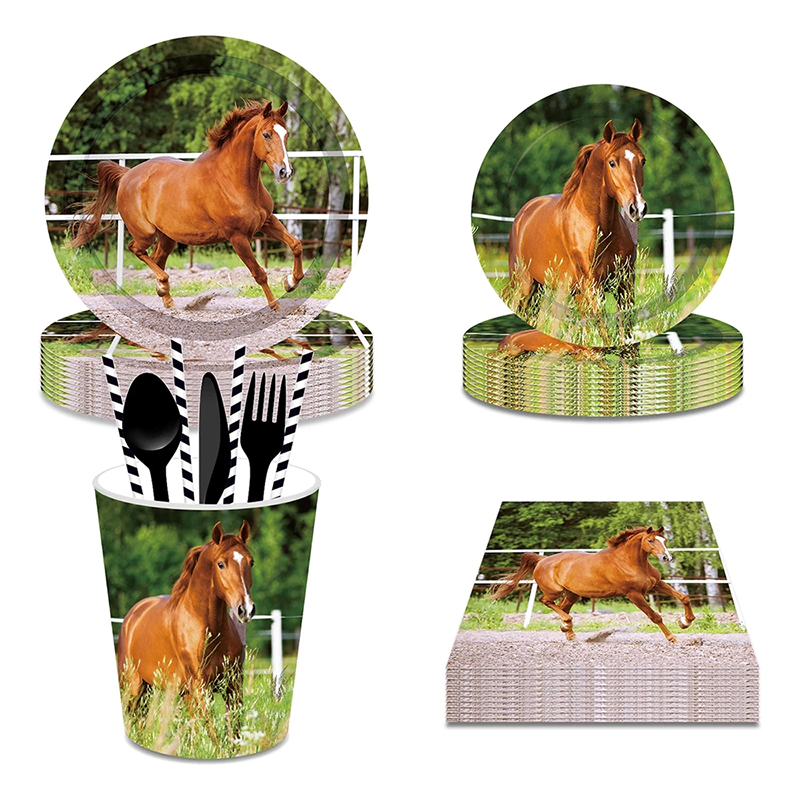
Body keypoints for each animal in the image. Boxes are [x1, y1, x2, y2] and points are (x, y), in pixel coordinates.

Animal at [70, 100, 304, 311]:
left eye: (286, 135)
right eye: (266, 134)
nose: (285, 172)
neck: (235, 181)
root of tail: (127, 174)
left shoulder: (267, 221)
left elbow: (296, 244)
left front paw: (290, 282)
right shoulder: (237, 237)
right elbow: (259, 273)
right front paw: (275, 305)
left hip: (167, 237)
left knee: (157, 258)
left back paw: (166, 297)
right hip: (145, 233)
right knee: (136, 249)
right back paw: (164, 285)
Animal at [117, 520, 255, 728]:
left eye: (251, 562)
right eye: (221, 564)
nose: (245, 609)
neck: (210, 629)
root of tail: (132, 615)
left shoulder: (233, 686)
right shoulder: (201, 688)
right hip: (133, 688)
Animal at [490, 526, 695, 643]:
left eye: (664, 540)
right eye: (650, 540)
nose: (666, 558)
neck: (630, 562)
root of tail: (542, 560)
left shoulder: (656, 584)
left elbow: (684, 597)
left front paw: (685, 622)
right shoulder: (633, 593)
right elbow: (655, 616)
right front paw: (672, 637)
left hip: (572, 593)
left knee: (562, 607)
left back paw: (568, 631)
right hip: (555, 591)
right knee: (545, 601)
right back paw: (568, 624)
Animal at [508, 120, 647, 335]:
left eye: (643, 161)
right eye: (612, 162)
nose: (637, 208)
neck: (601, 228)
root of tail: (524, 213)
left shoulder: (624, 285)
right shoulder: (592, 287)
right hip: (524, 285)